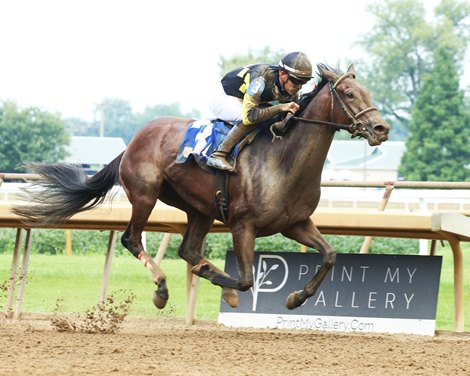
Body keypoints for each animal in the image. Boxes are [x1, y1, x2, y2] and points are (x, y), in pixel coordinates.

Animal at [13, 64, 390, 312]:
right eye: (349, 93)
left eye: (369, 92)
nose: (381, 129)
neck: (282, 160)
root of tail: (134, 139)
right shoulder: (243, 225)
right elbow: (246, 279)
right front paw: (223, 285)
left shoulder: (295, 223)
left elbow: (329, 255)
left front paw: (295, 298)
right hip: (146, 195)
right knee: (131, 239)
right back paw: (162, 289)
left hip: (200, 209)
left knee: (188, 250)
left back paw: (201, 271)